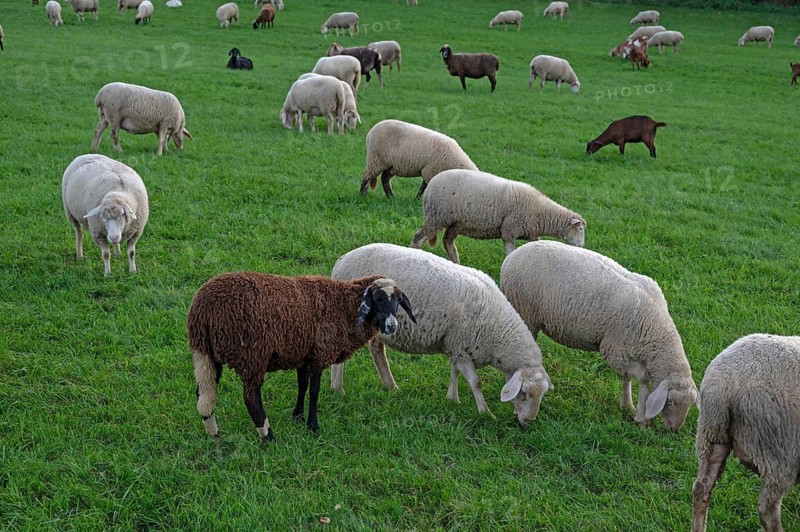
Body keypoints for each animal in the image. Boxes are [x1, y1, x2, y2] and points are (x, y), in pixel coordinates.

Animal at [187, 272, 415, 441]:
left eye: (398, 300)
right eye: (377, 299)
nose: (391, 326)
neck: (343, 305)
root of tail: (201, 311)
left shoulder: (303, 353)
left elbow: (302, 385)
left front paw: (297, 416)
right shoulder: (321, 354)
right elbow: (314, 390)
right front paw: (313, 426)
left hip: (208, 354)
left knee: (203, 393)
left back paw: (213, 433)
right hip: (252, 355)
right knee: (251, 397)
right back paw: (267, 436)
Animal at [330, 243, 552, 425]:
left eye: (541, 395)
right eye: (523, 393)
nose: (528, 422)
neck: (498, 330)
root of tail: (341, 262)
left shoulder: (457, 346)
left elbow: (454, 371)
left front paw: (452, 399)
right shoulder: (462, 347)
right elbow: (476, 383)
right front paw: (485, 413)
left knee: (377, 350)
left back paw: (390, 386)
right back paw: (338, 390)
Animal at [410, 169, 586, 264]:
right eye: (581, 229)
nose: (582, 247)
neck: (541, 213)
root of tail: (431, 184)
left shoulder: (531, 234)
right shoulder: (509, 230)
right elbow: (509, 252)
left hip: (455, 222)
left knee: (448, 241)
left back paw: (457, 262)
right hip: (437, 216)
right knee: (419, 237)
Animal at [500, 240, 697, 430]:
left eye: (690, 406)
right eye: (670, 402)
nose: (674, 430)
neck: (655, 331)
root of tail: (510, 258)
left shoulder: (625, 352)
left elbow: (626, 377)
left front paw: (627, 406)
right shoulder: (613, 350)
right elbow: (642, 378)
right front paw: (642, 419)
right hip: (525, 312)